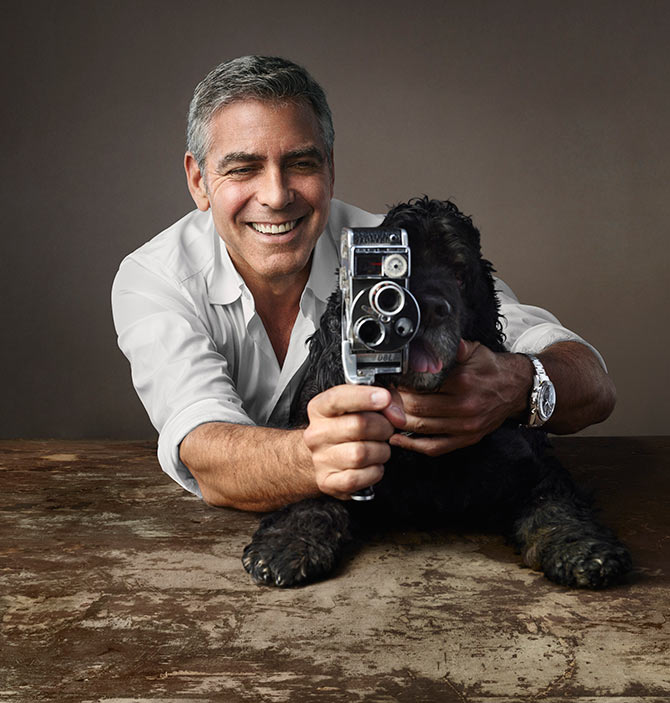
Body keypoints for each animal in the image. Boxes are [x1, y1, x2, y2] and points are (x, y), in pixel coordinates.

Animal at [243, 197, 636, 588]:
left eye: (460, 274)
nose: (429, 308)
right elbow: (314, 490)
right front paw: (288, 543)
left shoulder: (530, 463)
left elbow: (553, 503)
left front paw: (582, 549)